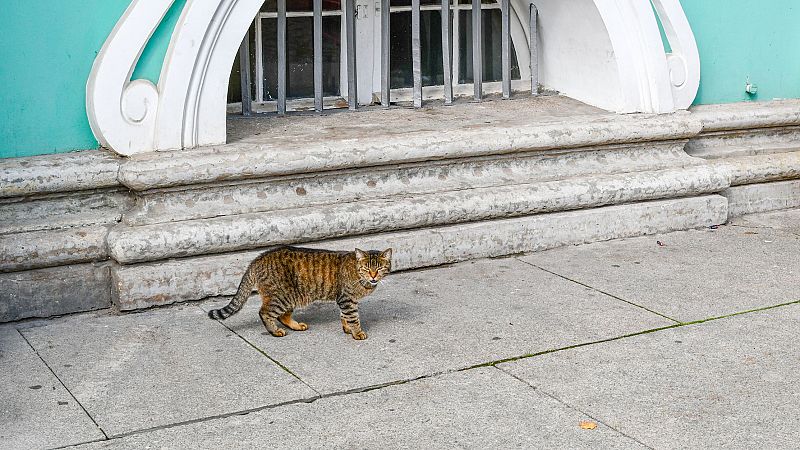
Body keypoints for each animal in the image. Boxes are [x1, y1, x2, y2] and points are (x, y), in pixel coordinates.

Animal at [208, 246, 392, 342]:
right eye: (367, 268)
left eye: (380, 268)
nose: (373, 276)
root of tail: (257, 258)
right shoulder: (346, 299)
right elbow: (353, 317)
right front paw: (356, 332)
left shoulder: (346, 300)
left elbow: (344, 316)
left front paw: (347, 328)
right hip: (282, 297)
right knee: (264, 312)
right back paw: (274, 331)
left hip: (291, 297)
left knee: (283, 316)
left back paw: (296, 326)